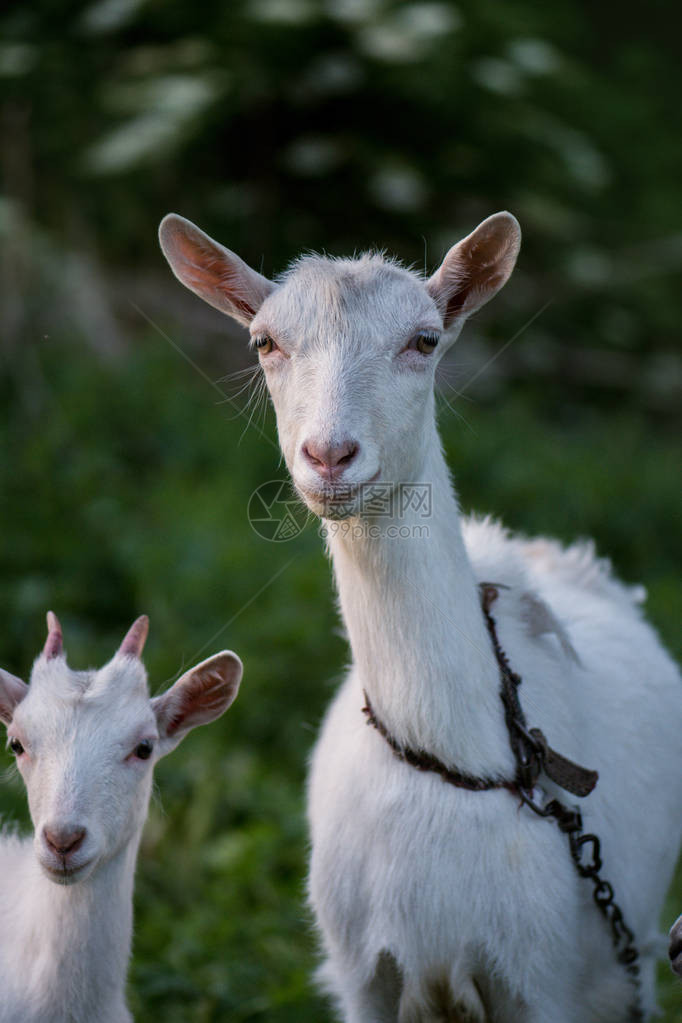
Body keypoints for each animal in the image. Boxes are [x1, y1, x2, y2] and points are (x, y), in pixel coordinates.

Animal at [158, 213, 682, 1023]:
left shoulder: (543, 980)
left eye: (425, 339)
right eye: (264, 342)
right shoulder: (363, 978)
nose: (329, 454)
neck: (459, 763)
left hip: (639, 952)